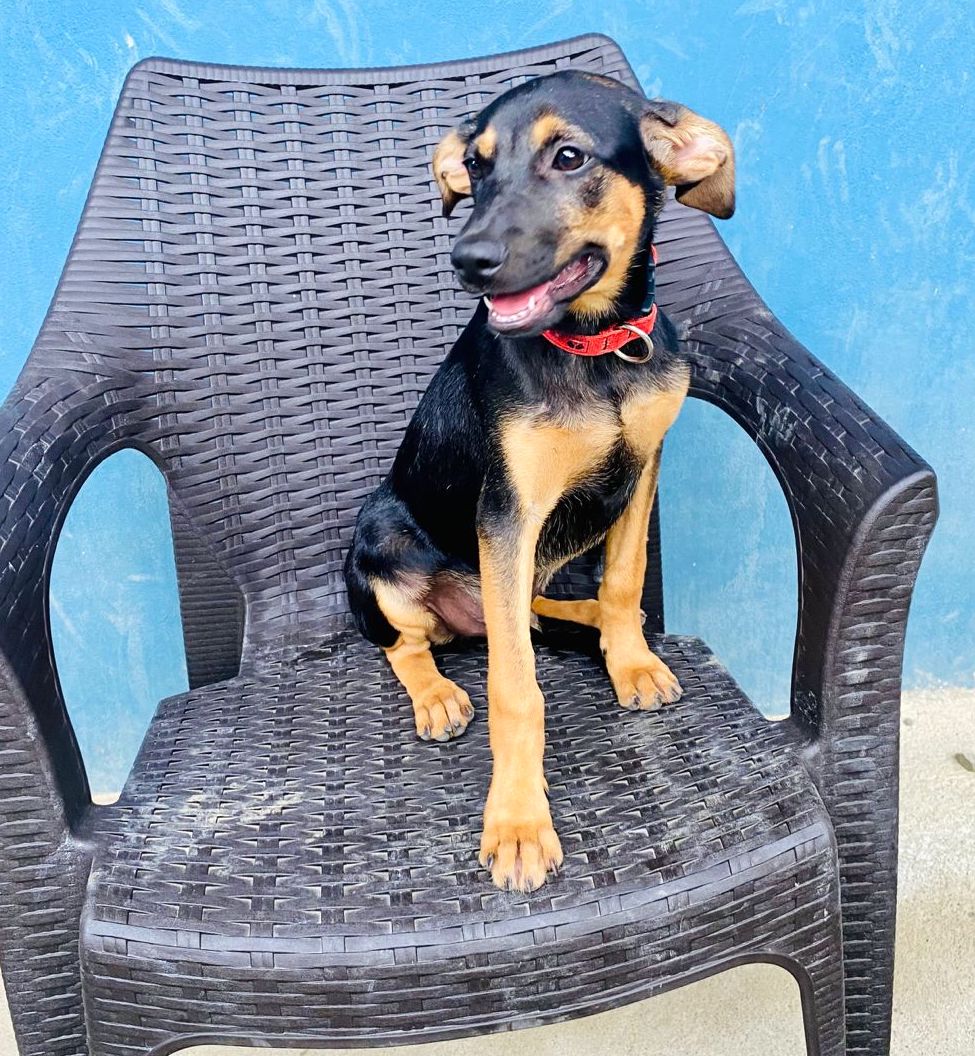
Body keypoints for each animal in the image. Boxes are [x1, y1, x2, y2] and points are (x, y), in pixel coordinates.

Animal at [342, 68, 730, 891]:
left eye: (569, 156)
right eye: (476, 167)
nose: (468, 259)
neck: (595, 349)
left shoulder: (643, 467)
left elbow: (623, 578)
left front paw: (631, 660)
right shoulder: (508, 511)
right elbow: (515, 689)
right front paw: (519, 824)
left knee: (531, 611)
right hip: (385, 539)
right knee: (411, 643)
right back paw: (437, 694)